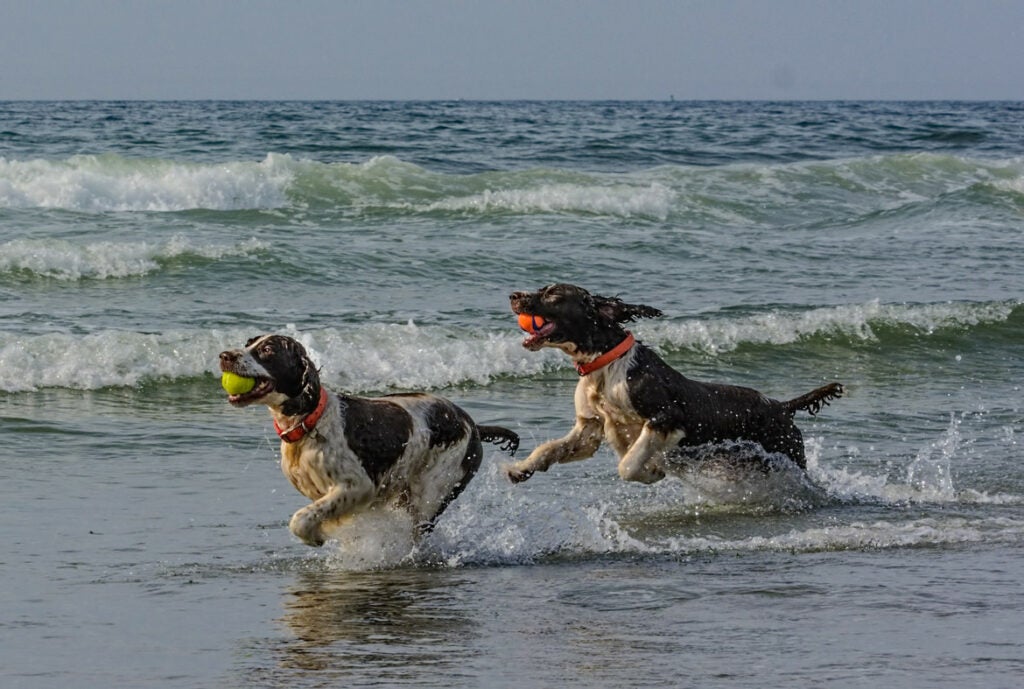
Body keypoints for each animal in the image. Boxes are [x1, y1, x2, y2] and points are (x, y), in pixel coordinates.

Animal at [219, 335, 516, 544]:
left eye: (268, 350)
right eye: (248, 343)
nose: (224, 355)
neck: (311, 421)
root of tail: (472, 425)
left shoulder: (358, 486)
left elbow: (301, 519)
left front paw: (317, 536)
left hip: (433, 493)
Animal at [503, 282, 839, 483]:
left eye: (553, 294)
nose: (513, 296)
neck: (607, 364)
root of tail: (782, 406)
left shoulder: (666, 417)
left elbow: (628, 464)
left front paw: (652, 471)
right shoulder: (589, 427)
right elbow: (549, 449)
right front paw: (520, 468)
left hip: (788, 453)